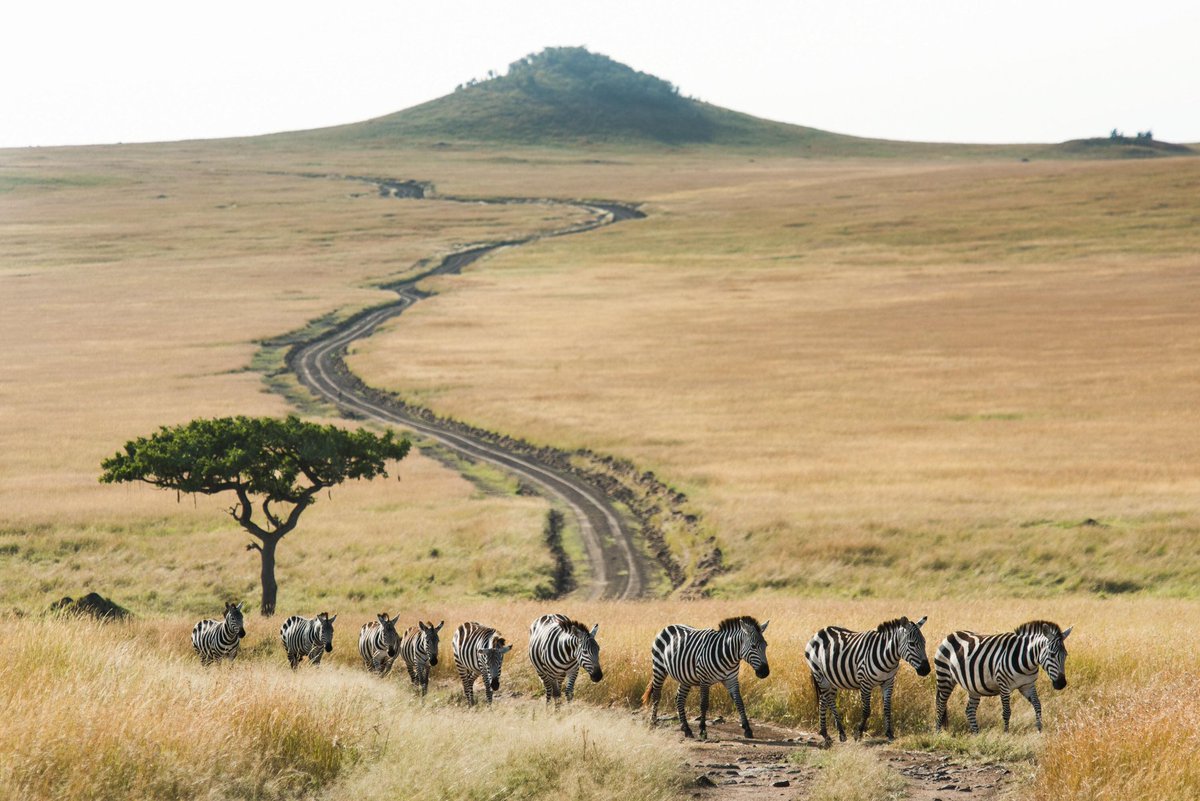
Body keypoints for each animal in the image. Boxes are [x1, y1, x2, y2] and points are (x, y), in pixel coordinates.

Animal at [641, 615, 770, 739]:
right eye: (753, 646)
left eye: (766, 645)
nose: (765, 672)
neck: (728, 656)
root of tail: (669, 626)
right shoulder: (704, 679)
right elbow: (704, 704)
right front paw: (703, 730)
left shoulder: (731, 679)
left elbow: (739, 702)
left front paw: (747, 729)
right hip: (659, 667)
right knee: (657, 695)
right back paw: (652, 723)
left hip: (685, 676)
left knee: (679, 698)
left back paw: (686, 729)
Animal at [805, 615, 930, 745]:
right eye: (912, 644)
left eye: (924, 643)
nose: (926, 670)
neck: (888, 658)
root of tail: (819, 632)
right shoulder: (865, 683)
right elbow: (866, 710)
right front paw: (858, 733)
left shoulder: (888, 682)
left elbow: (887, 708)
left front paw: (889, 734)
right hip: (819, 673)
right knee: (830, 701)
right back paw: (841, 733)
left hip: (831, 679)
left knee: (823, 700)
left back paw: (825, 734)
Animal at [935, 620, 1073, 734]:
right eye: (1052, 654)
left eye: (1065, 655)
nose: (1061, 684)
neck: (1027, 662)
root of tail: (952, 634)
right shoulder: (1003, 685)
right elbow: (1007, 711)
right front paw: (1006, 733)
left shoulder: (1027, 685)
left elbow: (1038, 705)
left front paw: (1039, 730)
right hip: (945, 678)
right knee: (940, 705)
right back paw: (938, 732)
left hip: (973, 686)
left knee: (969, 710)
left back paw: (976, 734)